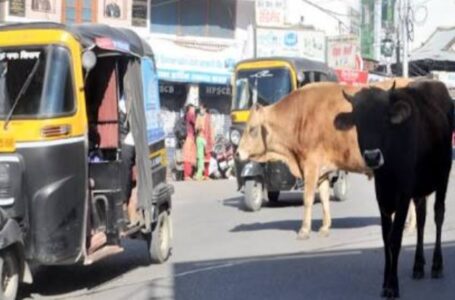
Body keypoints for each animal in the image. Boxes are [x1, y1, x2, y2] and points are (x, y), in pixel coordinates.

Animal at [237, 79, 412, 239]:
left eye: (252, 129)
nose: (237, 153)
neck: (298, 119)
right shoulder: (323, 171)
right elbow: (324, 198)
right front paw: (325, 227)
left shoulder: (310, 166)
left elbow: (307, 198)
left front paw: (304, 230)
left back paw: (409, 227)